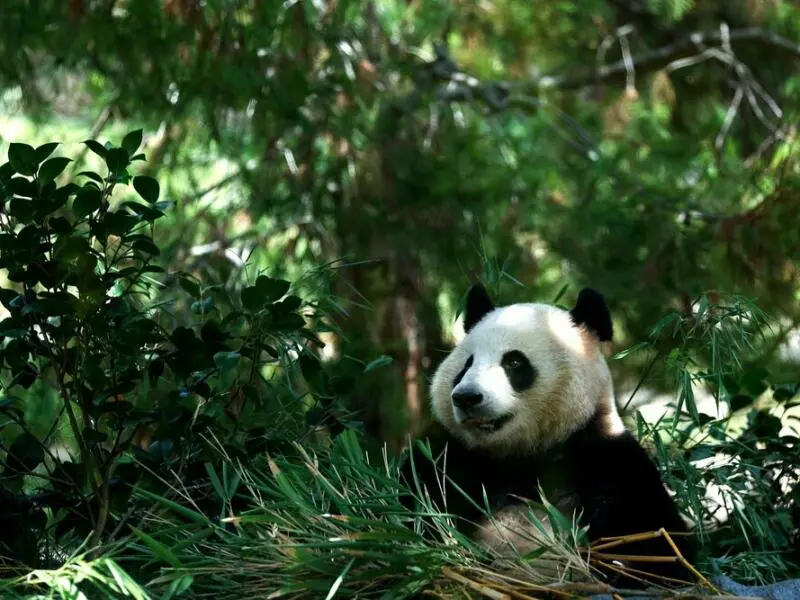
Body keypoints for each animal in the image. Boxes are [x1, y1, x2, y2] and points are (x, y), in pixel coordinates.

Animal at [400, 284, 692, 588]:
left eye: (514, 362)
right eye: (466, 365)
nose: (466, 397)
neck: (524, 454)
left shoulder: (610, 460)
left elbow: (660, 547)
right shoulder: (449, 459)